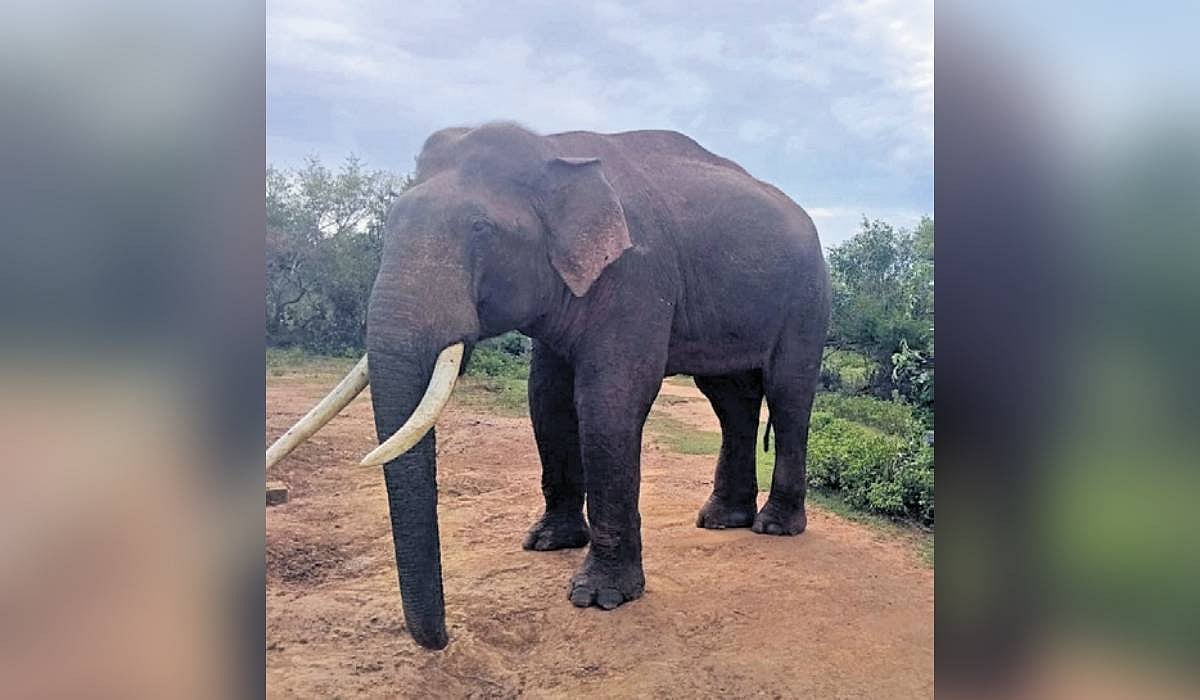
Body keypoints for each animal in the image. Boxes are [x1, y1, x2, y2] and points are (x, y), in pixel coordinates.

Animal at [266, 122, 831, 649]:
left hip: (808, 296)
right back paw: (721, 520)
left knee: (788, 393)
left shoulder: (637, 273)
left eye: (481, 229)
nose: (444, 638)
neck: (554, 149)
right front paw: (545, 544)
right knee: (730, 398)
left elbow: (608, 400)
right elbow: (546, 400)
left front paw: (599, 598)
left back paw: (773, 527)